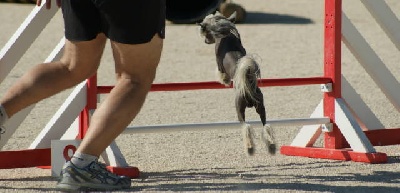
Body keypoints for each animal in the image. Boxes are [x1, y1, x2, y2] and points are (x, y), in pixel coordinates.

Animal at [198, 11, 276, 155]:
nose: (205, 41)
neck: (227, 35)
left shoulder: (219, 63)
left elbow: (221, 73)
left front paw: (224, 80)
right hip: (261, 107)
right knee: (265, 125)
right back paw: (271, 145)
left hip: (239, 109)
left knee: (246, 126)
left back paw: (249, 147)